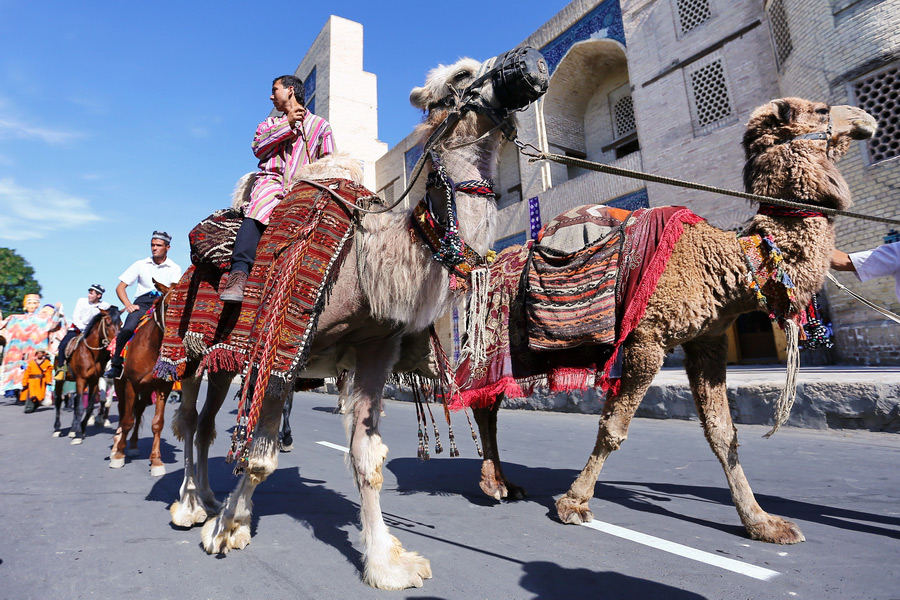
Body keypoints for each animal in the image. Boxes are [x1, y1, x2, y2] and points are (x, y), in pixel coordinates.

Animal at [53, 308, 123, 442]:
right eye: (108, 323)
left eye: (121, 323)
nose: (117, 344)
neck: (91, 353)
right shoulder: (82, 379)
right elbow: (81, 407)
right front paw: (78, 434)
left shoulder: (94, 381)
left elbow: (90, 407)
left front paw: (81, 430)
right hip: (60, 381)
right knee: (59, 400)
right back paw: (57, 428)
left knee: (75, 401)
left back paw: (73, 429)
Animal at [110, 284, 173, 476]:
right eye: (168, 304)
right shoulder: (131, 384)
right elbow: (127, 420)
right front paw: (119, 455)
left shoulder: (163, 387)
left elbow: (157, 423)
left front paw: (157, 461)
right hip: (120, 385)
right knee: (123, 410)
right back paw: (116, 446)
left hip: (146, 390)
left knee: (138, 411)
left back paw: (133, 445)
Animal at [165, 58, 524, 588]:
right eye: (461, 77)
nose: (530, 67)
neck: (367, 257)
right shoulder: (283, 349)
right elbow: (260, 456)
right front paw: (226, 528)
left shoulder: (376, 350)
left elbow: (367, 458)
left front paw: (388, 564)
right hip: (188, 351)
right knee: (189, 420)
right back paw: (190, 507)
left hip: (227, 362)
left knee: (208, 422)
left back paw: (206, 499)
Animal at [468, 97, 876, 544]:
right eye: (820, 111)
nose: (865, 117)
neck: (729, 261)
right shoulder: (647, 339)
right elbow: (614, 427)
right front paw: (574, 503)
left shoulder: (708, 341)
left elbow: (723, 433)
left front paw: (763, 522)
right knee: (480, 400)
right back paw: (495, 483)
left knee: (488, 403)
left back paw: (500, 482)